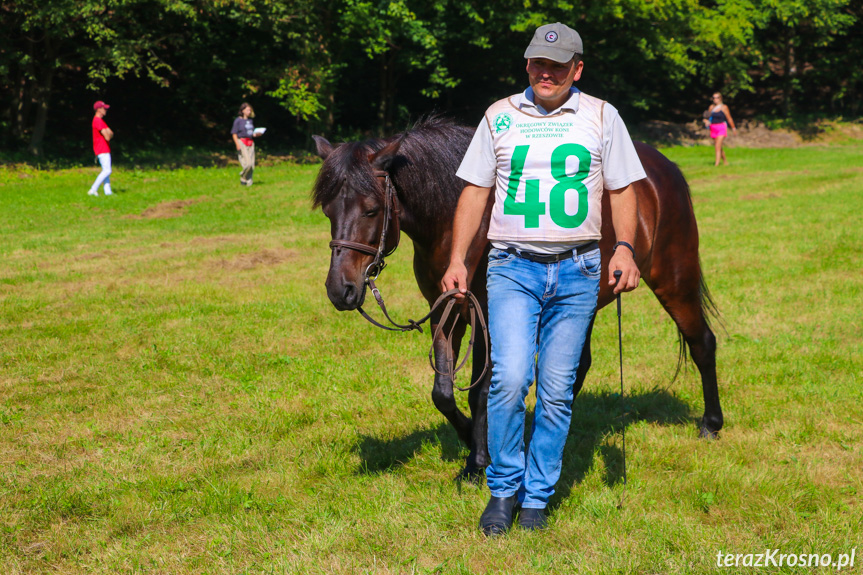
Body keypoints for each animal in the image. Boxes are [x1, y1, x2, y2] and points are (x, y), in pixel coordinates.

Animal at [310, 116, 724, 476]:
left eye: (371, 209)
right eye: (328, 211)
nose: (340, 290)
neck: (457, 224)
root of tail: (662, 168)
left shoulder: (489, 316)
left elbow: (480, 392)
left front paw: (477, 462)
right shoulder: (445, 310)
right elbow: (443, 392)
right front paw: (469, 439)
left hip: (674, 279)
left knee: (702, 342)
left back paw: (711, 424)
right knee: (576, 368)